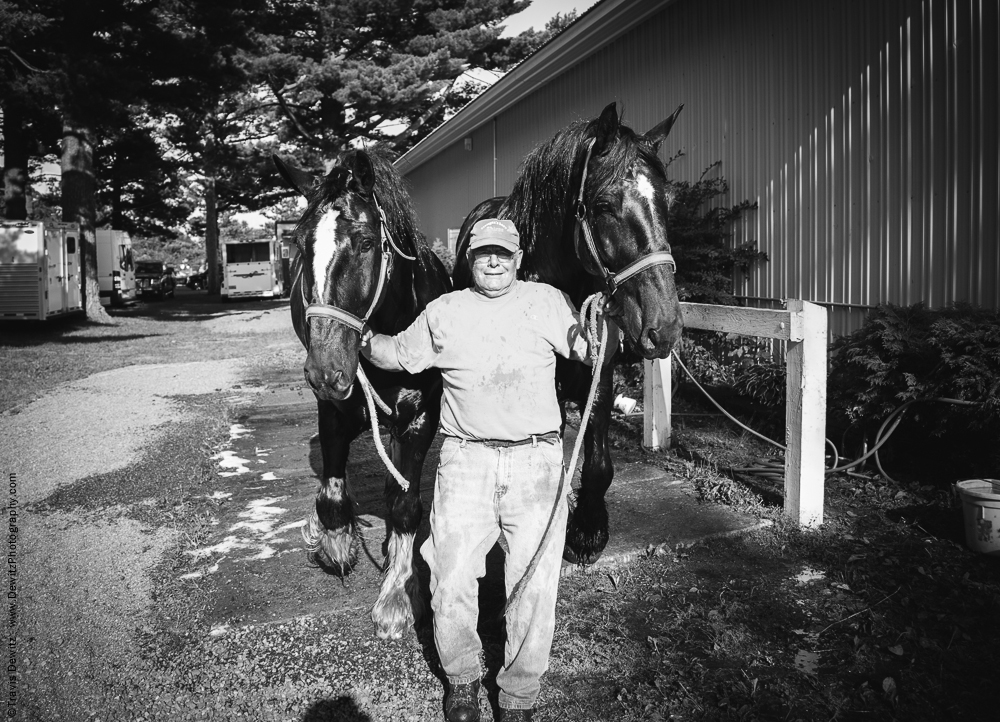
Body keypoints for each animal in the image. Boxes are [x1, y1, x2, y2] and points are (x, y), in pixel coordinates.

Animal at [272, 146, 448, 636]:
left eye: (368, 243)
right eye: (299, 245)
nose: (326, 369)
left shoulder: (421, 417)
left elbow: (406, 505)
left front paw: (397, 595)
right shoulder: (333, 409)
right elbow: (332, 497)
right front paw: (333, 542)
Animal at [456, 101, 684, 564]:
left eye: (669, 201)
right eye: (602, 205)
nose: (664, 329)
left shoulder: (600, 375)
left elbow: (596, 464)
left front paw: (588, 529)